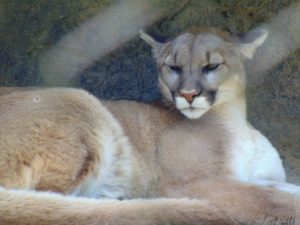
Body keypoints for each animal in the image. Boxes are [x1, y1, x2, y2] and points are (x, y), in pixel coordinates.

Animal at [0, 28, 300, 225]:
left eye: (211, 66)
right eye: (173, 67)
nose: (188, 94)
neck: (233, 118)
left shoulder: (262, 177)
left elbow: (284, 190)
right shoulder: (198, 182)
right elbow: (274, 200)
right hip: (77, 103)